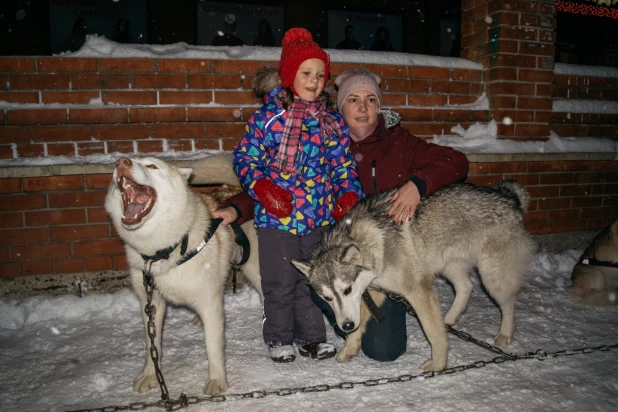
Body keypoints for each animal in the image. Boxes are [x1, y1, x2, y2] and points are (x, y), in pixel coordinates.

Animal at [103, 156, 260, 394]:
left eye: (152, 166)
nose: (122, 162)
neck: (162, 252)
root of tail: (237, 188)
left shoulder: (210, 303)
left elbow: (213, 347)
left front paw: (217, 381)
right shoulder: (150, 303)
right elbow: (152, 345)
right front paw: (150, 376)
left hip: (252, 268)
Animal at [292, 180, 532, 370]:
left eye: (347, 290)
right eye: (327, 298)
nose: (345, 326)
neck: (374, 244)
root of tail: (509, 197)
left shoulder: (417, 289)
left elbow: (432, 332)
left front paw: (438, 364)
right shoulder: (377, 290)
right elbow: (360, 322)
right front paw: (349, 347)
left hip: (492, 279)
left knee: (508, 303)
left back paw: (504, 334)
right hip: (449, 267)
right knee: (466, 286)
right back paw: (448, 319)